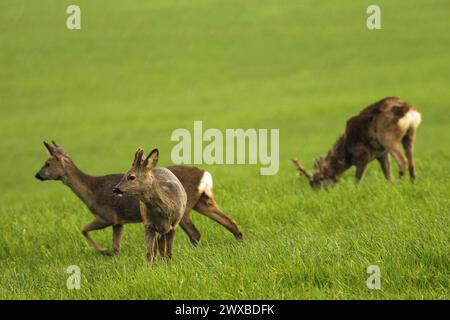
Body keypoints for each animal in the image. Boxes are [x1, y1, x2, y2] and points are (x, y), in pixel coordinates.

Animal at [34, 141, 243, 256]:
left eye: (48, 162)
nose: (38, 175)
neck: (90, 192)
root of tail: (205, 175)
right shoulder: (119, 222)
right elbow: (116, 246)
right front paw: (110, 254)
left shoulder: (106, 215)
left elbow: (84, 229)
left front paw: (103, 251)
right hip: (203, 202)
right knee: (229, 221)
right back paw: (240, 243)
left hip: (184, 210)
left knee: (196, 233)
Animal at [292, 96, 422, 189]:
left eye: (317, 181)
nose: (319, 194)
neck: (346, 154)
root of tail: (409, 109)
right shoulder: (381, 154)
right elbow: (388, 175)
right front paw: (390, 186)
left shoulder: (362, 157)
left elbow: (357, 180)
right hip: (410, 134)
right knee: (411, 163)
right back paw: (412, 184)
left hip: (389, 138)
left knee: (403, 162)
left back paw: (401, 184)